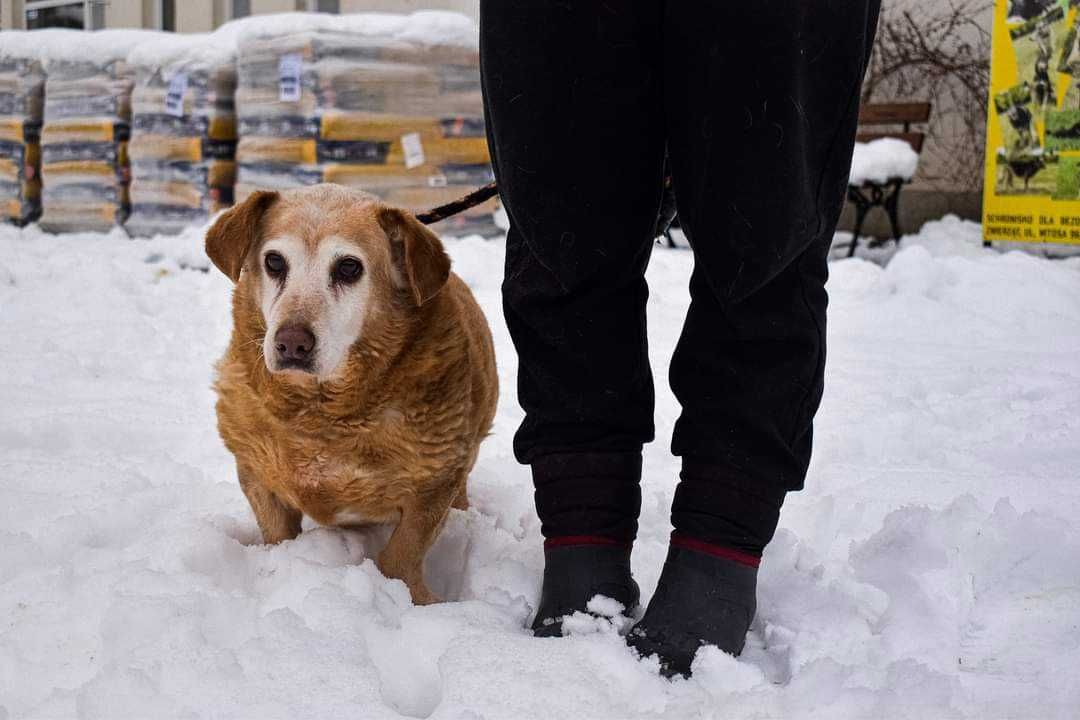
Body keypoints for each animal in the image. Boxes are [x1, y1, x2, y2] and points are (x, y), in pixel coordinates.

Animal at [203, 184, 496, 604]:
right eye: (274, 261)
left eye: (348, 268)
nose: (292, 343)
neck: (322, 414)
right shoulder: (256, 473)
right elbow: (277, 534)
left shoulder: (434, 486)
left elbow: (401, 555)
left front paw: (414, 600)